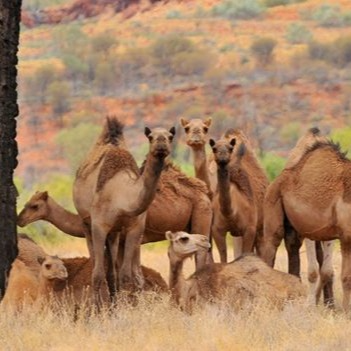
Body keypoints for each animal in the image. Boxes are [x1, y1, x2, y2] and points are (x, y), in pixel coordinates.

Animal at [72, 117, 175, 304]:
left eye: (170, 136)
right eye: (150, 137)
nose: (161, 144)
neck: (122, 195)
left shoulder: (135, 227)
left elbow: (125, 274)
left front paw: (123, 306)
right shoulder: (99, 225)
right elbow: (97, 273)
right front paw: (98, 308)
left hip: (115, 232)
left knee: (112, 269)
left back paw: (113, 302)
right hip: (85, 222)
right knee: (95, 263)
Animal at [262, 139, 351, 312]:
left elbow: (328, 271)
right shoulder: (346, 235)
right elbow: (345, 276)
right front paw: (346, 311)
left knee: (292, 246)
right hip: (272, 205)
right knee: (270, 248)